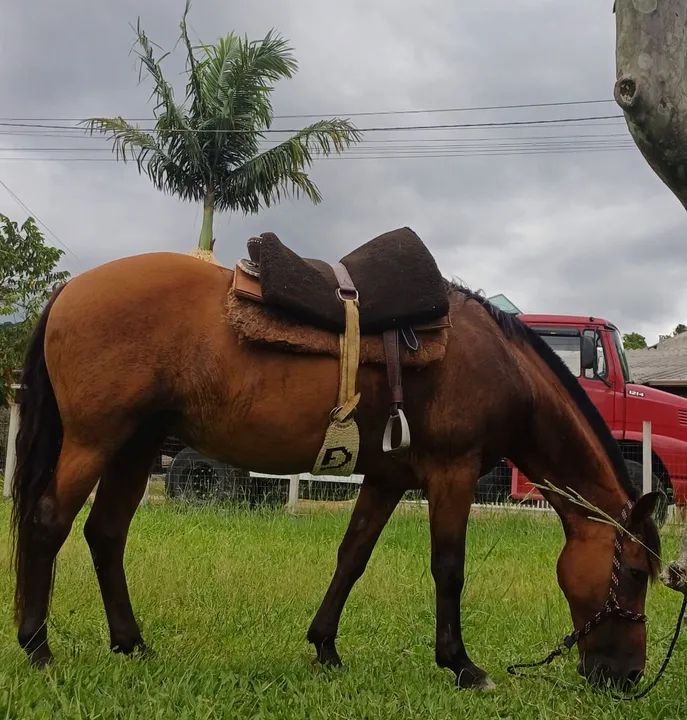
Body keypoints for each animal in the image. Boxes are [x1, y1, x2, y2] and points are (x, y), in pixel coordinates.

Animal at [10, 251, 660, 690]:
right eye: (632, 572)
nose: (626, 677)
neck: (502, 366)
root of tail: (69, 289)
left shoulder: (388, 479)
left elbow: (352, 556)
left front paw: (325, 646)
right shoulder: (452, 472)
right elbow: (449, 569)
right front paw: (461, 664)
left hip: (135, 445)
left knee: (105, 534)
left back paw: (131, 643)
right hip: (95, 441)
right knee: (48, 523)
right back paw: (37, 648)